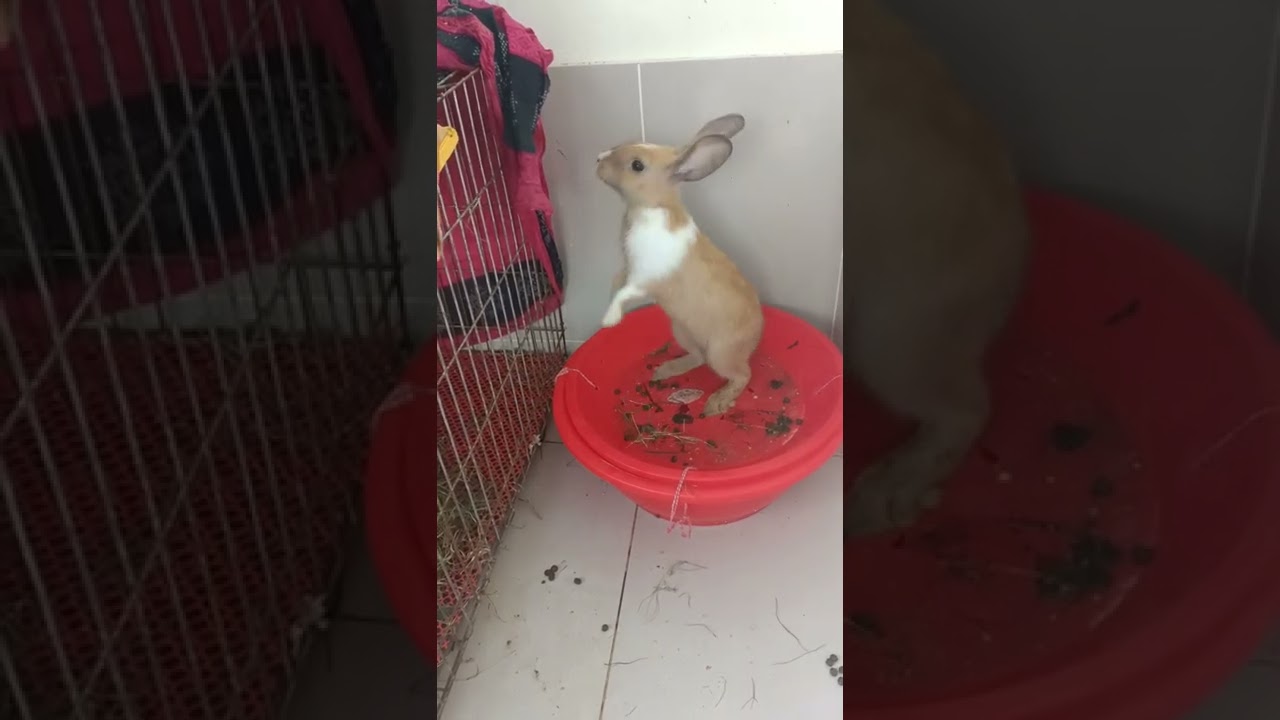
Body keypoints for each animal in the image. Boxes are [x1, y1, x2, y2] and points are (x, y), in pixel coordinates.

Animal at [595, 114, 764, 418]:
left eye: (637, 165)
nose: (598, 158)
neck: (652, 208)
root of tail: (755, 339)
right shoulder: (629, 269)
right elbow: (616, 282)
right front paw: (610, 306)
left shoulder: (644, 279)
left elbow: (625, 293)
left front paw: (609, 320)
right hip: (682, 332)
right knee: (697, 357)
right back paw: (664, 371)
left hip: (720, 354)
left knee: (742, 375)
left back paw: (716, 404)